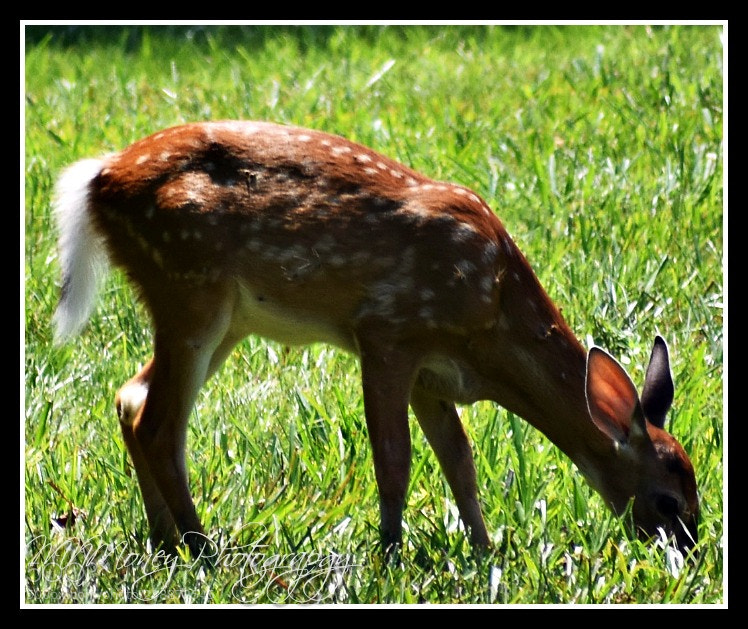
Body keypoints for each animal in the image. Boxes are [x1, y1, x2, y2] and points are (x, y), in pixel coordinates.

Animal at [52, 120, 699, 559]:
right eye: (668, 500)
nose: (688, 553)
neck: (492, 312)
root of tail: (98, 180)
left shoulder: (434, 377)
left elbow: (459, 461)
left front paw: (484, 548)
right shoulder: (387, 331)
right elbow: (395, 457)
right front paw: (390, 552)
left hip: (220, 317)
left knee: (131, 397)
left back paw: (168, 540)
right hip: (190, 287)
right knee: (157, 422)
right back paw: (202, 547)